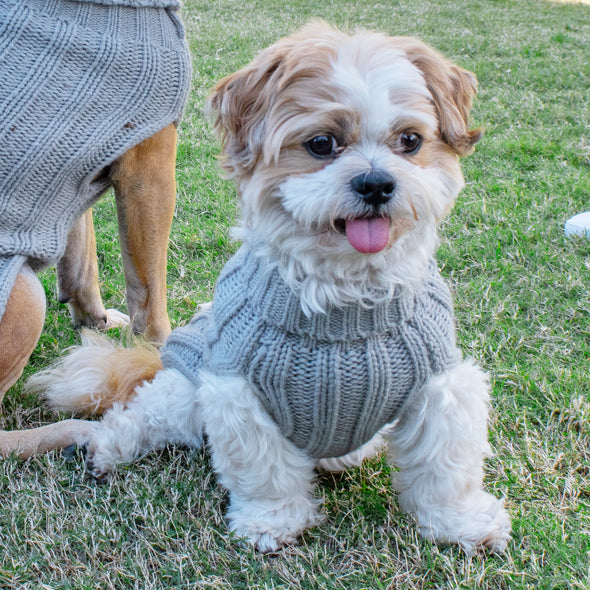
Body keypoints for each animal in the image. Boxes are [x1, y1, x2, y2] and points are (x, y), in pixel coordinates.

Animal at [31, 23, 512, 556]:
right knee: (138, 418)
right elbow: (266, 471)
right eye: (321, 143)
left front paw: (462, 522)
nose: (376, 183)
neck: (344, 300)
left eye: (410, 140)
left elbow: (446, 467)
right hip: (182, 391)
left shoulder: (440, 387)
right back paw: (105, 450)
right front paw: (271, 522)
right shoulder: (238, 392)